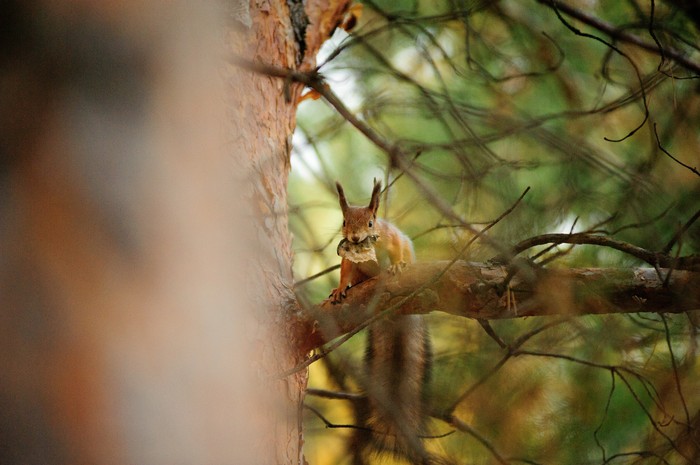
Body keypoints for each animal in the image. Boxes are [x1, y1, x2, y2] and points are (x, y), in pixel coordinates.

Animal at [328, 180, 432, 464]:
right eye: (344, 221)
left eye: (371, 223)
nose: (354, 238)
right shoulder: (348, 258)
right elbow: (345, 270)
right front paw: (340, 288)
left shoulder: (393, 238)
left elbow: (397, 252)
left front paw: (397, 266)